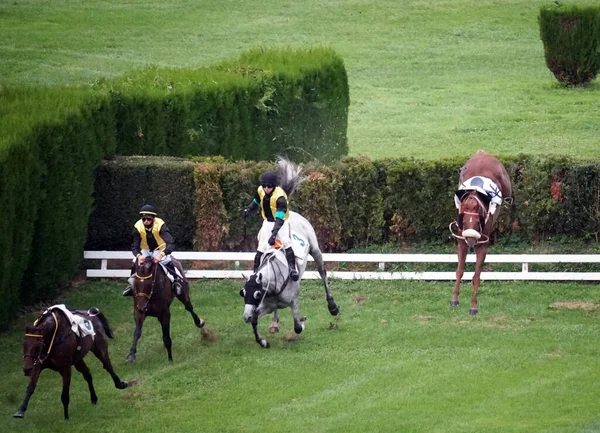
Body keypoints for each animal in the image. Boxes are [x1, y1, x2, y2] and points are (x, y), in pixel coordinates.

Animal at [240, 210, 342, 348]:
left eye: (257, 294)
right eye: (243, 293)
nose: (246, 317)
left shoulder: (294, 301)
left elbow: (297, 327)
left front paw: (302, 321)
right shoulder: (267, 306)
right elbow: (255, 319)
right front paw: (262, 341)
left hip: (315, 249)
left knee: (322, 273)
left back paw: (332, 306)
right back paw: (274, 323)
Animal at [450, 151, 510, 314]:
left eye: (478, 223)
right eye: (463, 222)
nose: (471, 242)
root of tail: (483, 153)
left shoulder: (483, 244)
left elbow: (477, 276)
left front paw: (473, 306)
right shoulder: (461, 242)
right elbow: (459, 270)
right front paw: (454, 298)